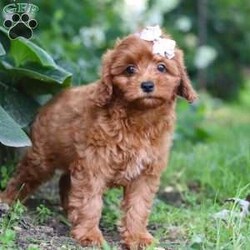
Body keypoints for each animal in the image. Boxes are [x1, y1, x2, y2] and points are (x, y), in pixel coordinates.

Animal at [0, 25, 197, 248]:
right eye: (130, 69)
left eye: (162, 67)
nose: (147, 85)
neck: (139, 117)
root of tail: (55, 98)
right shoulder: (94, 166)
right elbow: (90, 202)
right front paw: (89, 234)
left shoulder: (145, 173)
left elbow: (138, 206)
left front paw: (137, 236)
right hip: (42, 156)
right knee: (24, 176)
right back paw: (7, 200)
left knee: (65, 182)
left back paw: (69, 212)